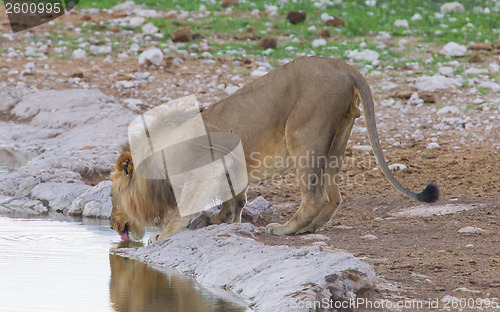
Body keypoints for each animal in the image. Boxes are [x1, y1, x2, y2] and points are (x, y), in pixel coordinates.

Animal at [109, 58, 438, 244]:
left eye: (111, 198)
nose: (111, 224)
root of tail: (346, 68)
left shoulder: (204, 169)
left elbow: (184, 208)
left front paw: (164, 233)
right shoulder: (228, 167)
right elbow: (234, 200)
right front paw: (218, 221)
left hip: (304, 135)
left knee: (315, 197)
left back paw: (285, 229)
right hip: (336, 141)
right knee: (333, 197)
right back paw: (307, 229)